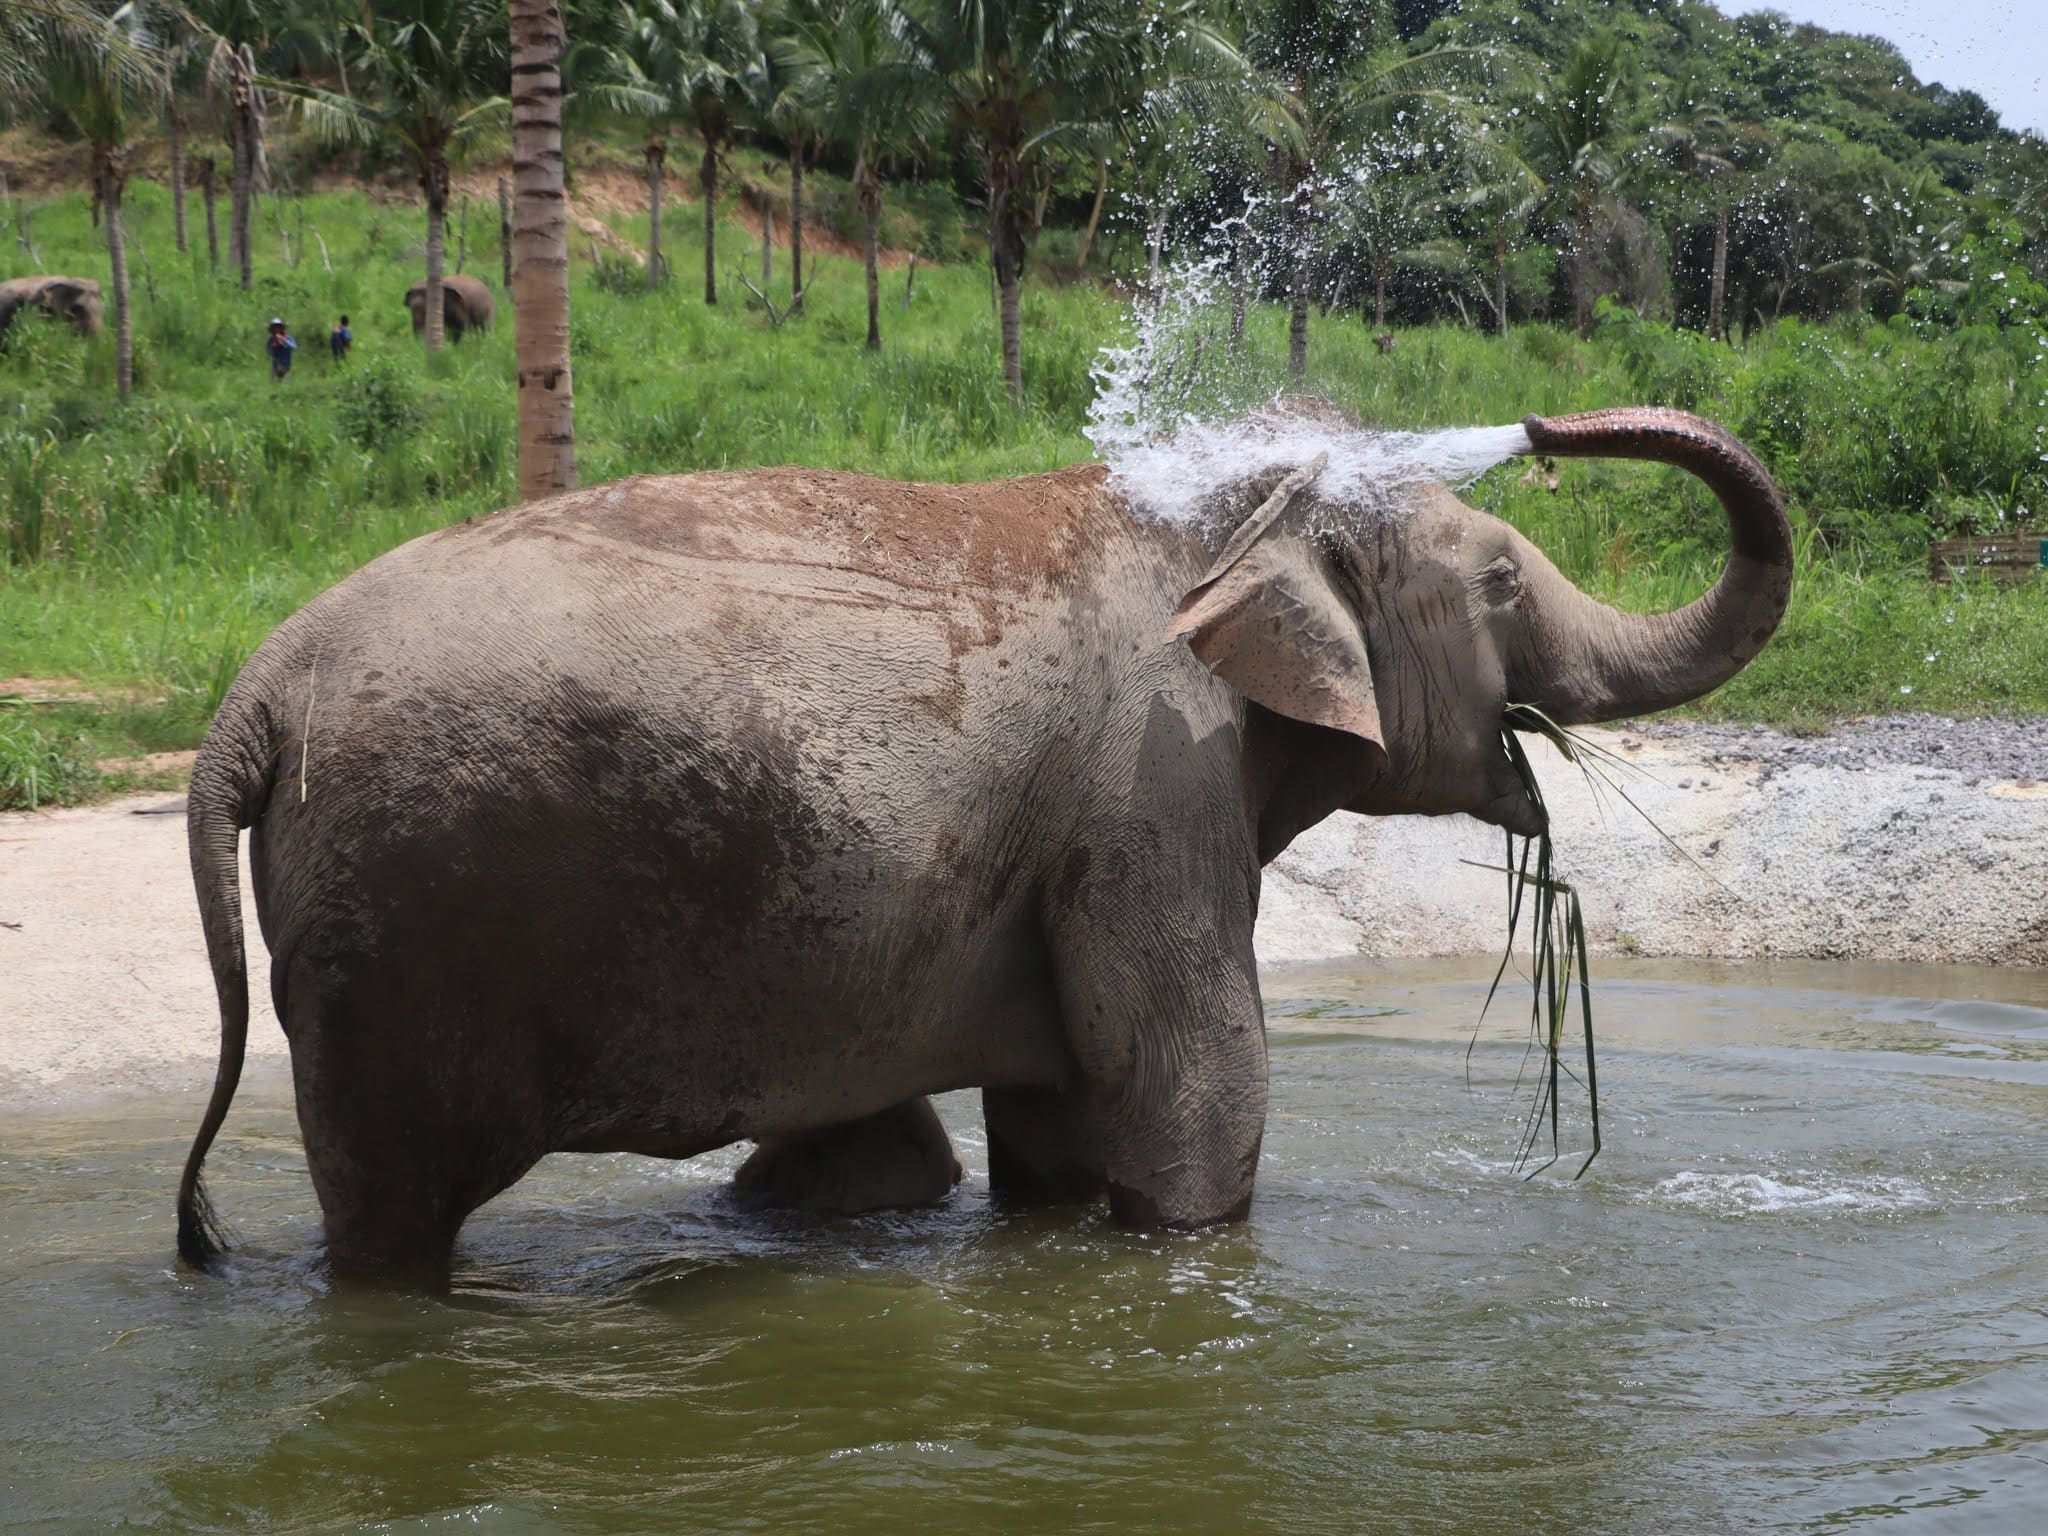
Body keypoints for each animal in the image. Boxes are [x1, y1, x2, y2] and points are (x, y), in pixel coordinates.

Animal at [175, 403, 1792, 1287]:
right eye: (1506, 580)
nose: (1545, 429)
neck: (1230, 519)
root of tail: (253, 694)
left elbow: (1063, 1126)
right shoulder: (1152, 783)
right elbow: (1197, 1099)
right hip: (399, 923)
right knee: (392, 1222)